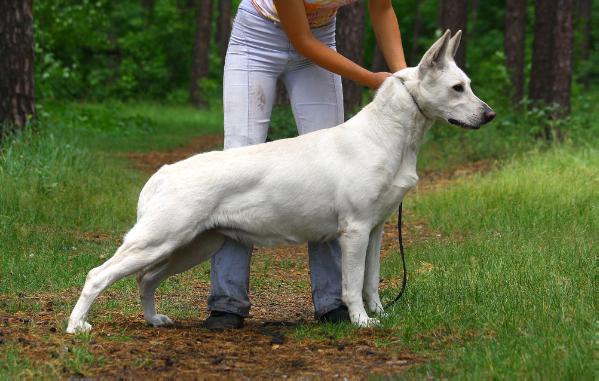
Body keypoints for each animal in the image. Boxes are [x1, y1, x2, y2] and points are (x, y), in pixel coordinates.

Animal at [68, 30, 494, 332]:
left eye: (469, 83)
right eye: (457, 88)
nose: (489, 115)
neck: (388, 135)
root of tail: (164, 172)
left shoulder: (376, 231)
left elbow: (371, 281)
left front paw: (379, 315)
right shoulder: (355, 230)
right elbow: (352, 283)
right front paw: (361, 322)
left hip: (193, 245)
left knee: (146, 279)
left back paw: (154, 320)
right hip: (161, 238)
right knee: (98, 275)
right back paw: (77, 327)